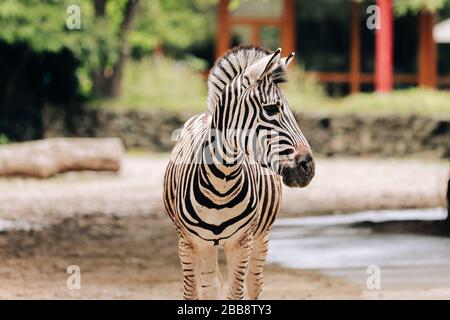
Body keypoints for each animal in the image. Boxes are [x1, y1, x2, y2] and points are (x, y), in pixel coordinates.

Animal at [163, 45, 314, 300]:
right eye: (271, 108)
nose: (308, 168)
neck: (220, 185)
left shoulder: (243, 242)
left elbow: (236, 293)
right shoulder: (188, 243)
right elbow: (193, 293)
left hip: (261, 236)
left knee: (254, 283)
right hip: (207, 246)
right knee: (211, 285)